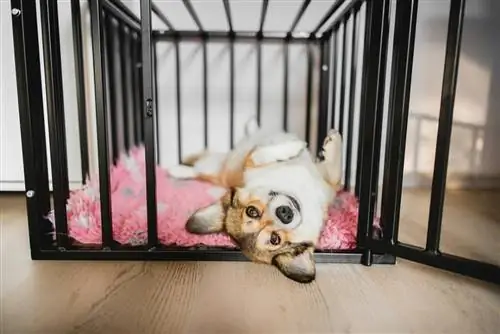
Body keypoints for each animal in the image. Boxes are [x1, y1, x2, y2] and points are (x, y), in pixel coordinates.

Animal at [170, 121, 342, 284]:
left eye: (251, 211)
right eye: (275, 239)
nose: (285, 214)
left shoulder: (328, 185)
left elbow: (335, 173)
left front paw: (330, 144)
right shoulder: (250, 162)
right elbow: (260, 153)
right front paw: (297, 146)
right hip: (214, 167)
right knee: (199, 171)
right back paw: (177, 170)